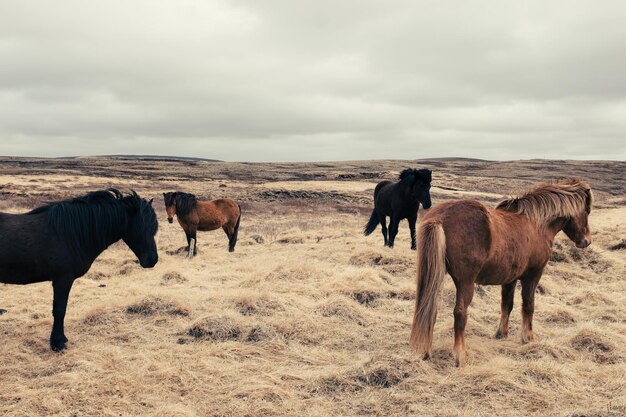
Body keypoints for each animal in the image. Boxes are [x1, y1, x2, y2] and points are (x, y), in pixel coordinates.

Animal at [0, 190, 158, 350]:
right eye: (142, 227)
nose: (152, 260)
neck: (71, 235)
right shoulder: (63, 279)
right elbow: (59, 310)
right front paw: (58, 342)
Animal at [410, 177, 588, 366]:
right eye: (586, 211)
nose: (586, 241)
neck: (536, 223)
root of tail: (440, 217)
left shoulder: (510, 279)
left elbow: (507, 305)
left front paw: (501, 333)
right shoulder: (533, 275)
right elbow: (528, 305)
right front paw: (528, 337)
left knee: (430, 309)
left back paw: (426, 351)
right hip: (465, 283)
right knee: (459, 313)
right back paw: (460, 355)